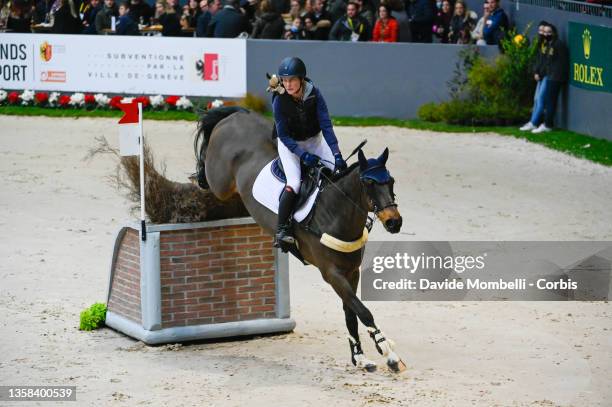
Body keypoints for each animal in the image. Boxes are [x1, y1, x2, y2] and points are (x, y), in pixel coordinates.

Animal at [196, 107, 406, 374]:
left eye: (391, 181)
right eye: (369, 183)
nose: (394, 222)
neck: (334, 213)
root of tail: (236, 116)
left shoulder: (351, 271)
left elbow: (351, 312)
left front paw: (360, 357)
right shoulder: (331, 274)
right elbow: (363, 311)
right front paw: (388, 353)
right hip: (220, 183)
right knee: (208, 169)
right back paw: (199, 171)